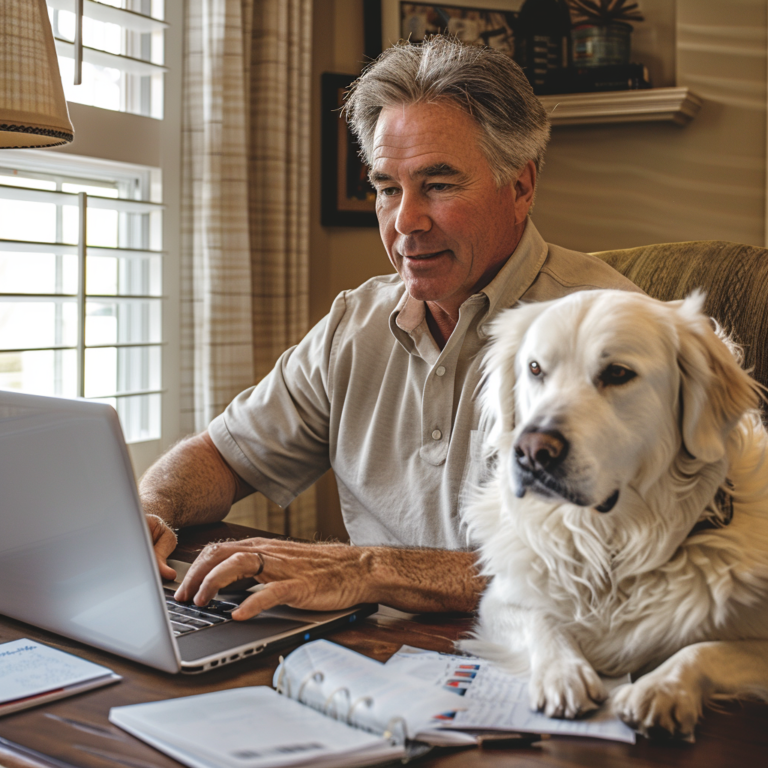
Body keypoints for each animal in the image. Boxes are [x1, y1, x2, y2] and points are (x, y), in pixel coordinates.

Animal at [462, 288, 768, 736]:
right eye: (535, 369)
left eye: (618, 373)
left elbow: (704, 648)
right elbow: (542, 621)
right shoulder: (500, 601)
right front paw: (563, 673)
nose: (532, 450)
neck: (610, 541)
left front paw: (662, 687)